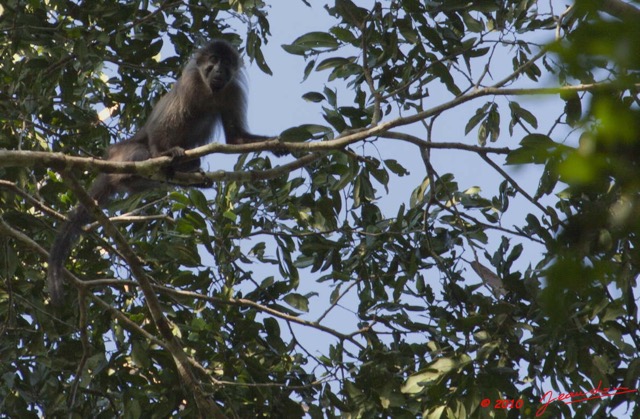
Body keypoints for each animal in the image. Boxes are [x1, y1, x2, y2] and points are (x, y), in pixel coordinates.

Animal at [47, 39, 281, 305]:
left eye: (227, 63)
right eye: (213, 60)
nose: (220, 69)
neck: (210, 89)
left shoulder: (232, 91)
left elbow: (236, 138)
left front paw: (276, 145)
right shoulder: (191, 82)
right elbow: (165, 123)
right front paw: (167, 152)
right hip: (124, 153)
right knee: (146, 147)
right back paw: (163, 160)